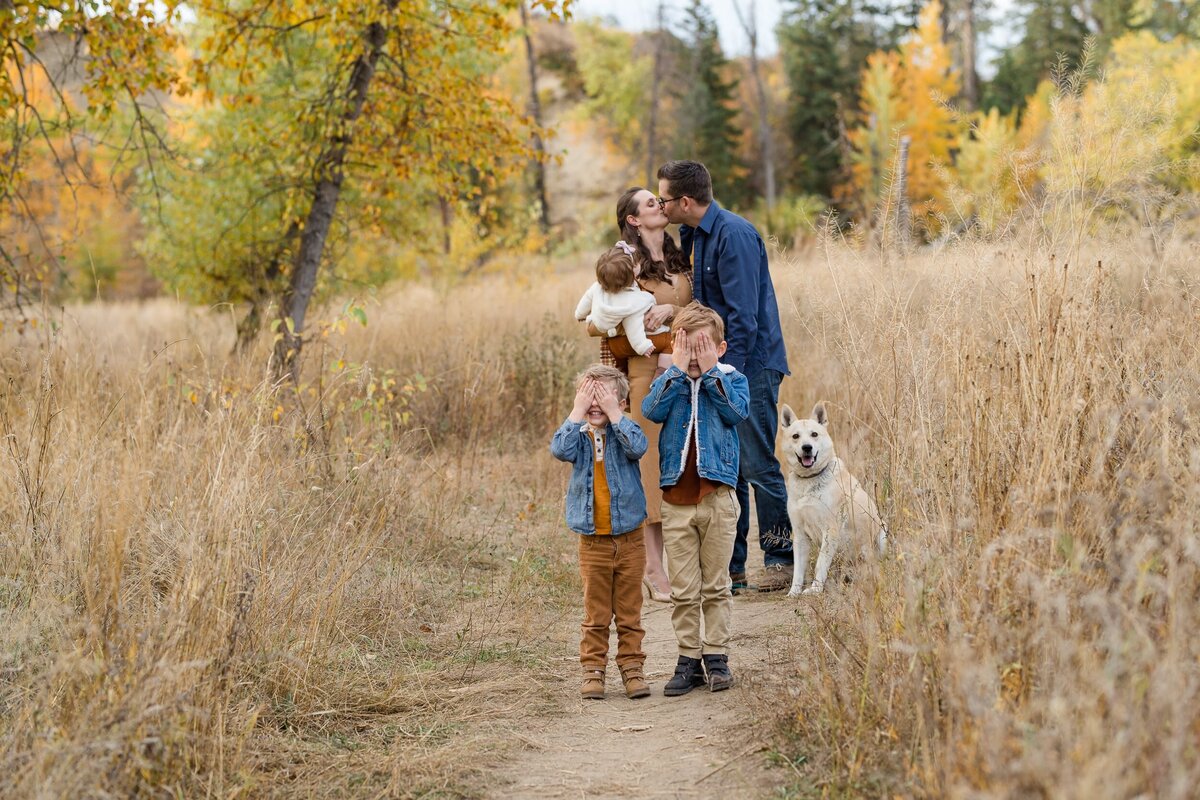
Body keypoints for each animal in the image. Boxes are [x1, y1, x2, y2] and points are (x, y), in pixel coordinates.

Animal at [777, 402, 892, 597]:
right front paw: (794, 592)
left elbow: (820, 563)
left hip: (883, 534)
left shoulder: (830, 531)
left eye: (814, 434)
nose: (807, 447)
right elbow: (798, 570)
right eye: (795, 436)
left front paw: (815, 589)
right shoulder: (800, 535)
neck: (809, 480)